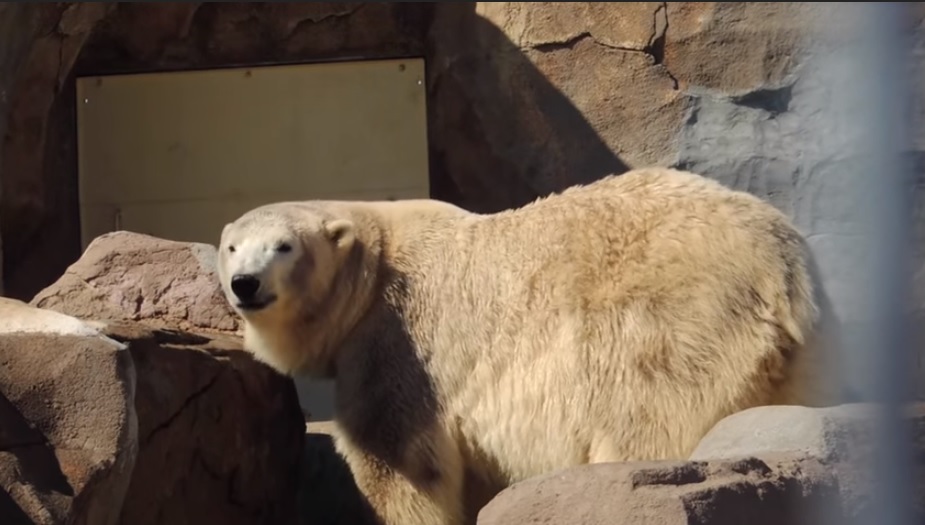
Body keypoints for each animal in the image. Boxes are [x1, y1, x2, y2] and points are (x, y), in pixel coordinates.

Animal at [216, 167, 841, 525]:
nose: (245, 284)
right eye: (232, 246)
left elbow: (400, 463)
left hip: (671, 316)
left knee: (645, 415)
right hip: (805, 346)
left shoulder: (396, 338)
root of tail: (781, 269)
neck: (375, 263)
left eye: (284, 246)